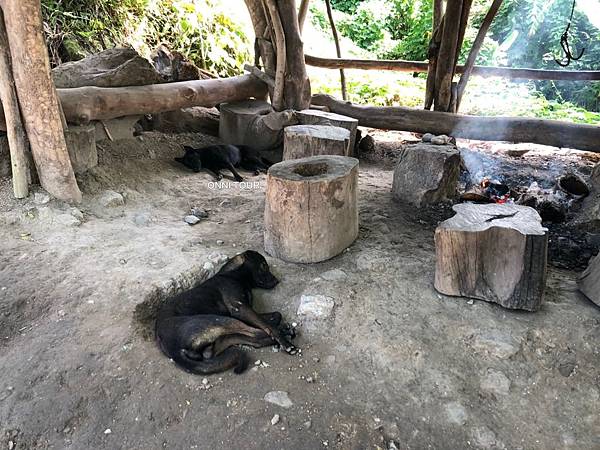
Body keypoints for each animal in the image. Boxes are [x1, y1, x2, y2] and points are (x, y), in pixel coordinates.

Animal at [155, 251, 296, 374]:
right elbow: (269, 326)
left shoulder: (244, 312)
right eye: (264, 266)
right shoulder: (240, 309)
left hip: (224, 333)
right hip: (218, 320)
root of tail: (173, 350)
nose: (277, 280)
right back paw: (285, 335)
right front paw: (283, 340)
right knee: (254, 334)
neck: (231, 275)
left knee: (253, 339)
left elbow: (277, 315)